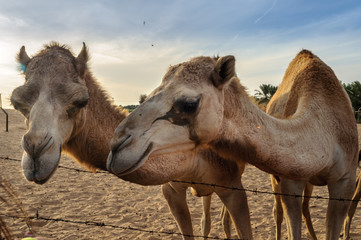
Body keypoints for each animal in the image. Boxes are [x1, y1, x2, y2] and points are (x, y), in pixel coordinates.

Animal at [108, 49, 358, 239]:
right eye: (147, 96)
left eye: (189, 103)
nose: (116, 147)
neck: (324, 132)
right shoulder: (290, 179)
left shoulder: (345, 180)